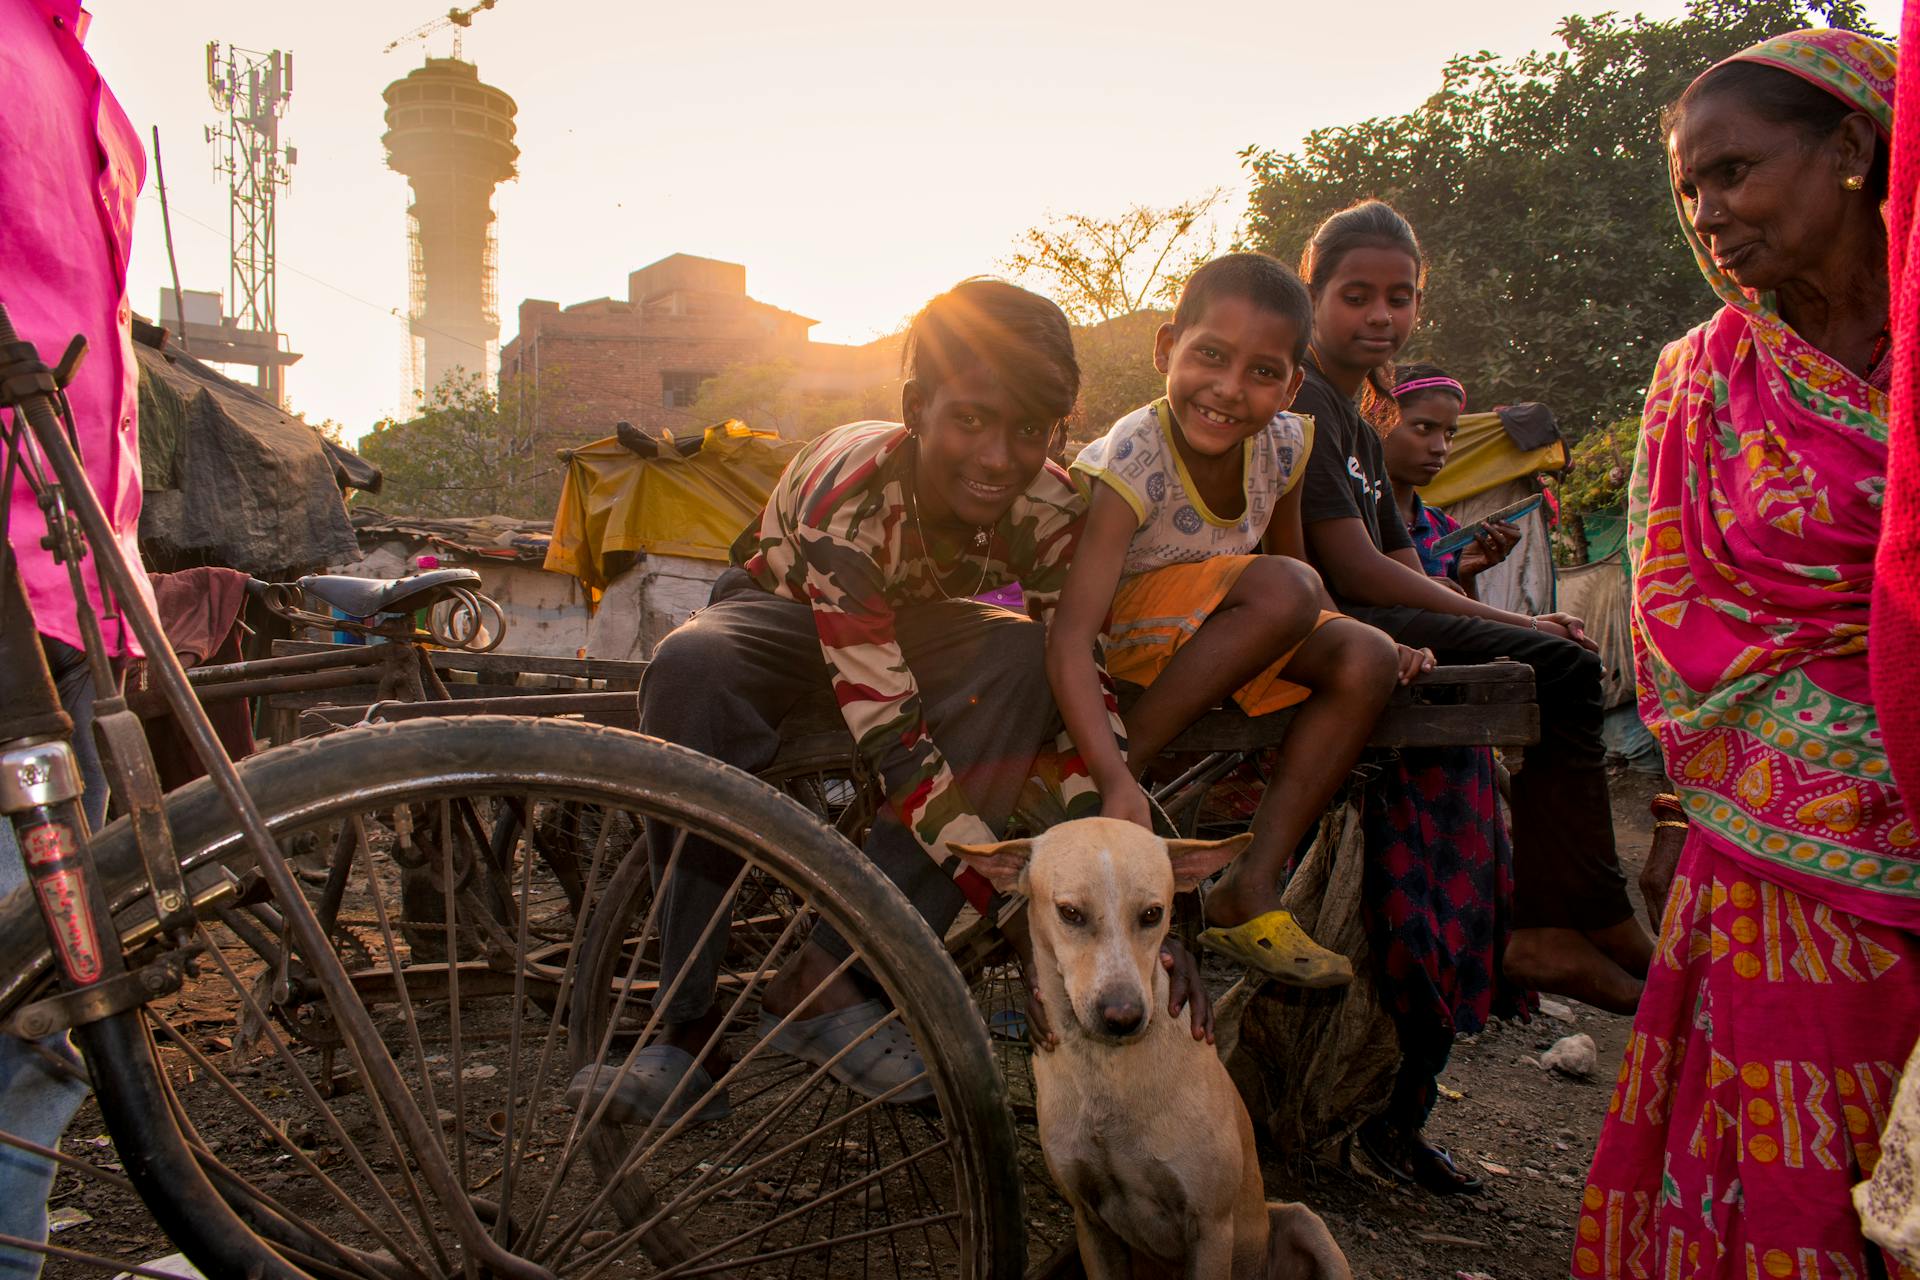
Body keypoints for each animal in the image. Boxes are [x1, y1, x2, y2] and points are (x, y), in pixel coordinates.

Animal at [948, 821, 1351, 1280]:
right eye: (1070, 913)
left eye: (1152, 914)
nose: (1123, 1016)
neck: (1107, 1072)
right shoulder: (1091, 1224)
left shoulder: (1211, 1230)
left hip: (1302, 1222)